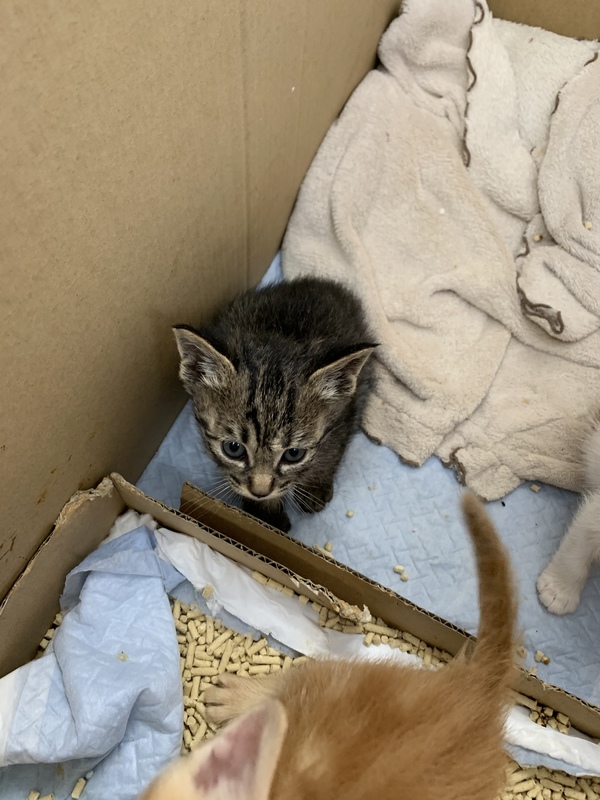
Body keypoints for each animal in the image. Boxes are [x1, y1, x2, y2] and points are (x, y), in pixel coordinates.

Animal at [173, 277, 376, 532]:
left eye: (294, 454)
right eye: (233, 448)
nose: (260, 492)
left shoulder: (346, 412)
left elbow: (331, 451)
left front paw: (314, 487)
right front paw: (267, 515)